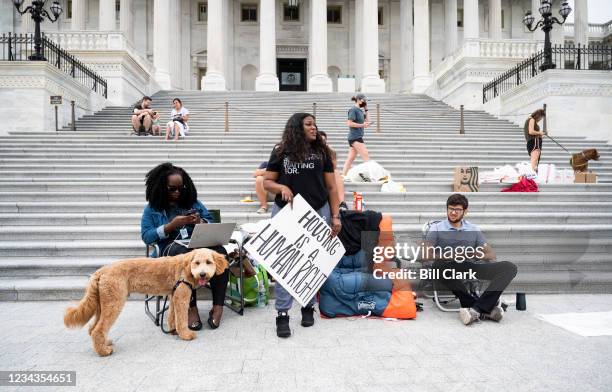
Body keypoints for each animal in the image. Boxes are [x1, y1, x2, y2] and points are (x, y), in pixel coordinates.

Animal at [64, 250, 227, 356]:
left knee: (93, 328)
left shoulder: (173, 296)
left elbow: (172, 316)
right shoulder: (182, 297)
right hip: (113, 302)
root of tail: (101, 271)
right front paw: (186, 335)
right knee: (98, 330)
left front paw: (173, 331)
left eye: (208, 262)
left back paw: (104, 344)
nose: (202, 274)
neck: (185, 267)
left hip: (102, 304)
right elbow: (181, 318)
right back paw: (104, 351)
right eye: (197, 263)